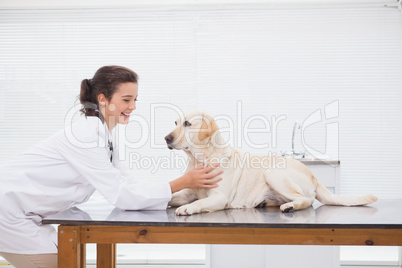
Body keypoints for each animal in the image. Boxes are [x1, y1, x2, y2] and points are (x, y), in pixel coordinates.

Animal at [165, 110, 378, 216]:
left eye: (187, 124)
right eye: (175, 123)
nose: (166, 138)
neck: (200, 158)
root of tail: (314, 176)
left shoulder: (219, 197)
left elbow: (200, 201)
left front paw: (187, 208)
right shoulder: (187, 192)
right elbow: (174, 196)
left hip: (273, 172)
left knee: (306, 200)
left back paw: (290, 206)